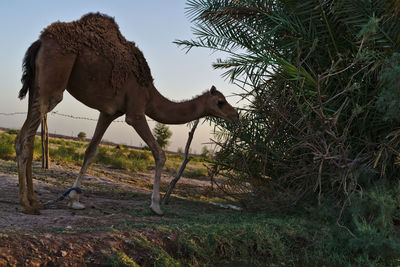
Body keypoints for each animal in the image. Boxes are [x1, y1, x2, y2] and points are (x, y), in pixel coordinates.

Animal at [14, 13, 239, 217]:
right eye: (221, 101)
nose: (236, 115)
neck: (150, 94)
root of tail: (41, 41)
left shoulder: (108, 113)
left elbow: (91, 151)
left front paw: (74, 200)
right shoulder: (135, 111)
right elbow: (160, 154)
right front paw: (156, 206)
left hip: (36, 85)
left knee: (24, 137)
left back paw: (35, 201)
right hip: (54, 81)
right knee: (26, 138)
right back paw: (27, 205)